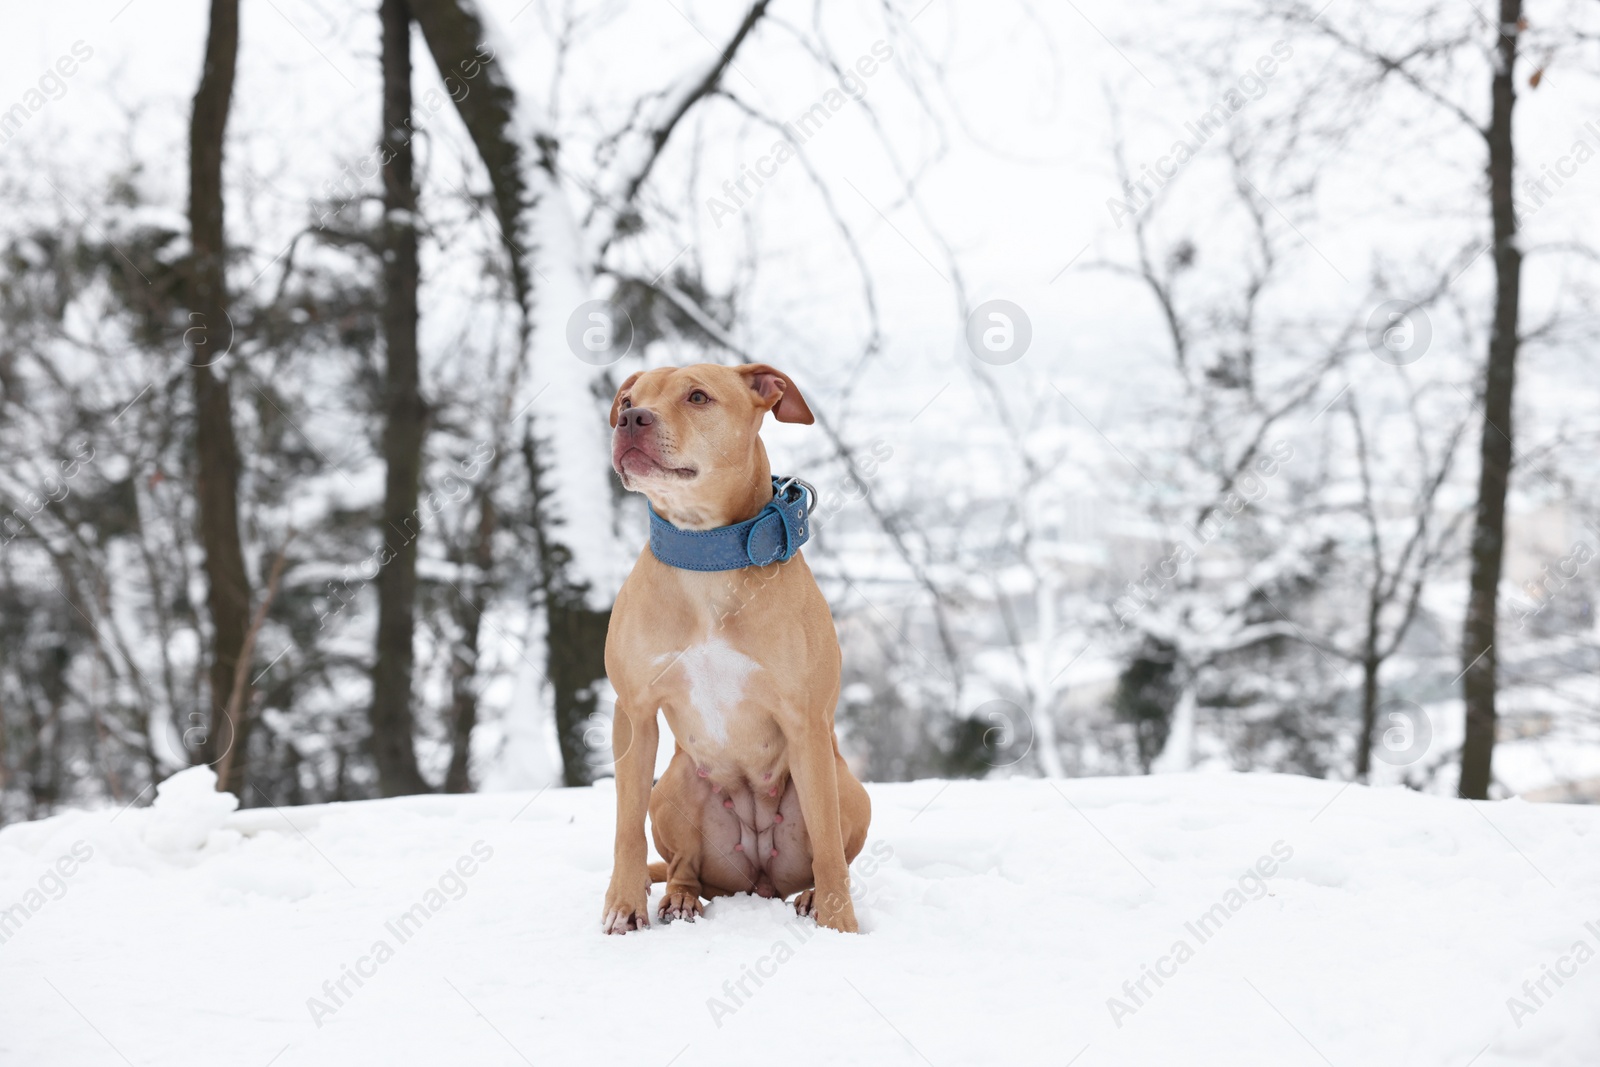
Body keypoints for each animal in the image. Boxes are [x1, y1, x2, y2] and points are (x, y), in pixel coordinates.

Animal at [601, 364, 876, 934]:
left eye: (697, 397)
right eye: (629, 401)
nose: (632, 420)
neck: (708, 557)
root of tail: (759, 881)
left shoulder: (806, 723)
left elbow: (829, 846)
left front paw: (840, 926)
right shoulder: (633, 714)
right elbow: (625, 828)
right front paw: (623, 905)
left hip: (846, 786)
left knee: (825, 850)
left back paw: (812, 897)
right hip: (674, 787)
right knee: (682, 866)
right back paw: (680, 899)